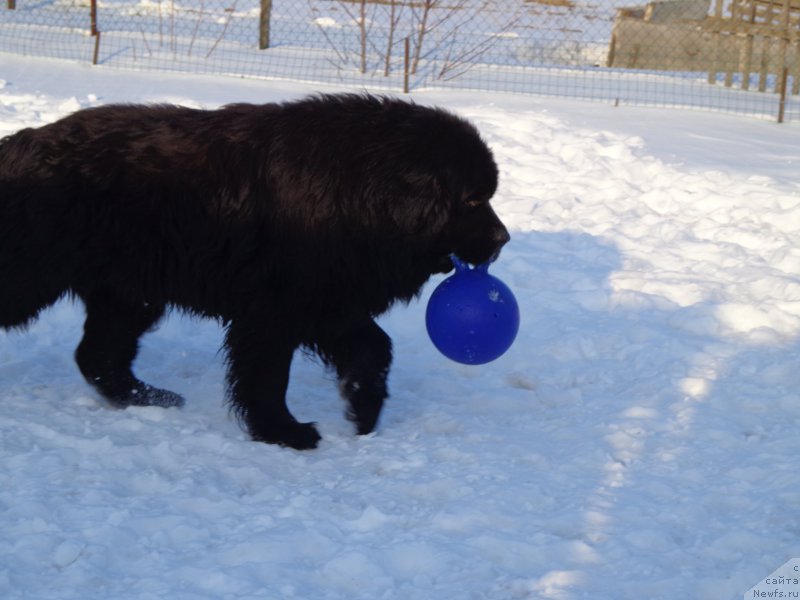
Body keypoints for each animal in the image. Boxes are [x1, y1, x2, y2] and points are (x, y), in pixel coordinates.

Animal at [0, 94, 510, 448]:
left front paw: (361, 408)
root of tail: (21, 142)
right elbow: (267, 377)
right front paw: (284, 432)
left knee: (99, 355)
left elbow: (374, 348)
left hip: (128, 290)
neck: (361, 190)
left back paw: (148, 397)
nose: (504, 239)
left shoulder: (328, 300)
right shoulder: (275, 309)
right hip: (35, 273)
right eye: (472, 200)